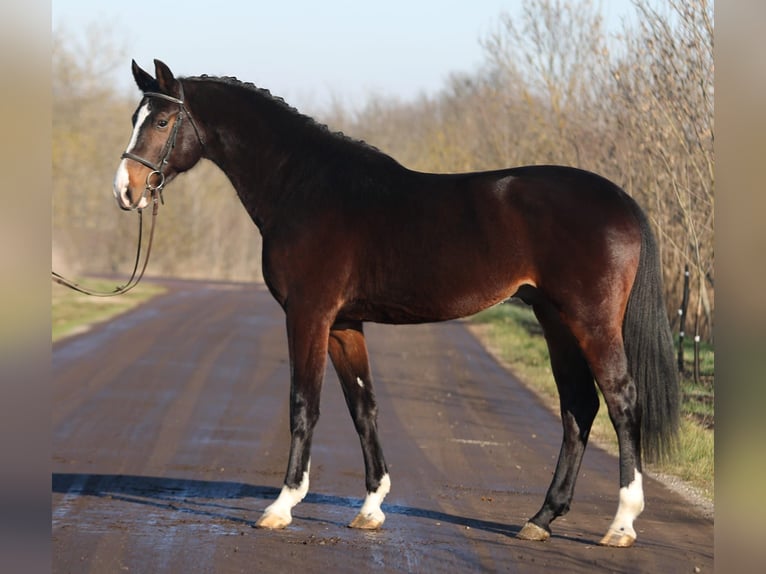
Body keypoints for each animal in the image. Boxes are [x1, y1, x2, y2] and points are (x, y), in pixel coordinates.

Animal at [112, 59, 680, 548]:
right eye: (135, 117)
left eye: (161, 119)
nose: (125, 190)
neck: (303, 186)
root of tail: (622, 201)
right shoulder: (344, 323)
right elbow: (363, 408)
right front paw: (371, 507)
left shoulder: (308, 315)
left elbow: (304, 404)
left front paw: (282, 505)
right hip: (555, 319)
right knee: (578, 408)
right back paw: (541, 518)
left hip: (591, 321)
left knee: (621, 401)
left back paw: (621, 524)